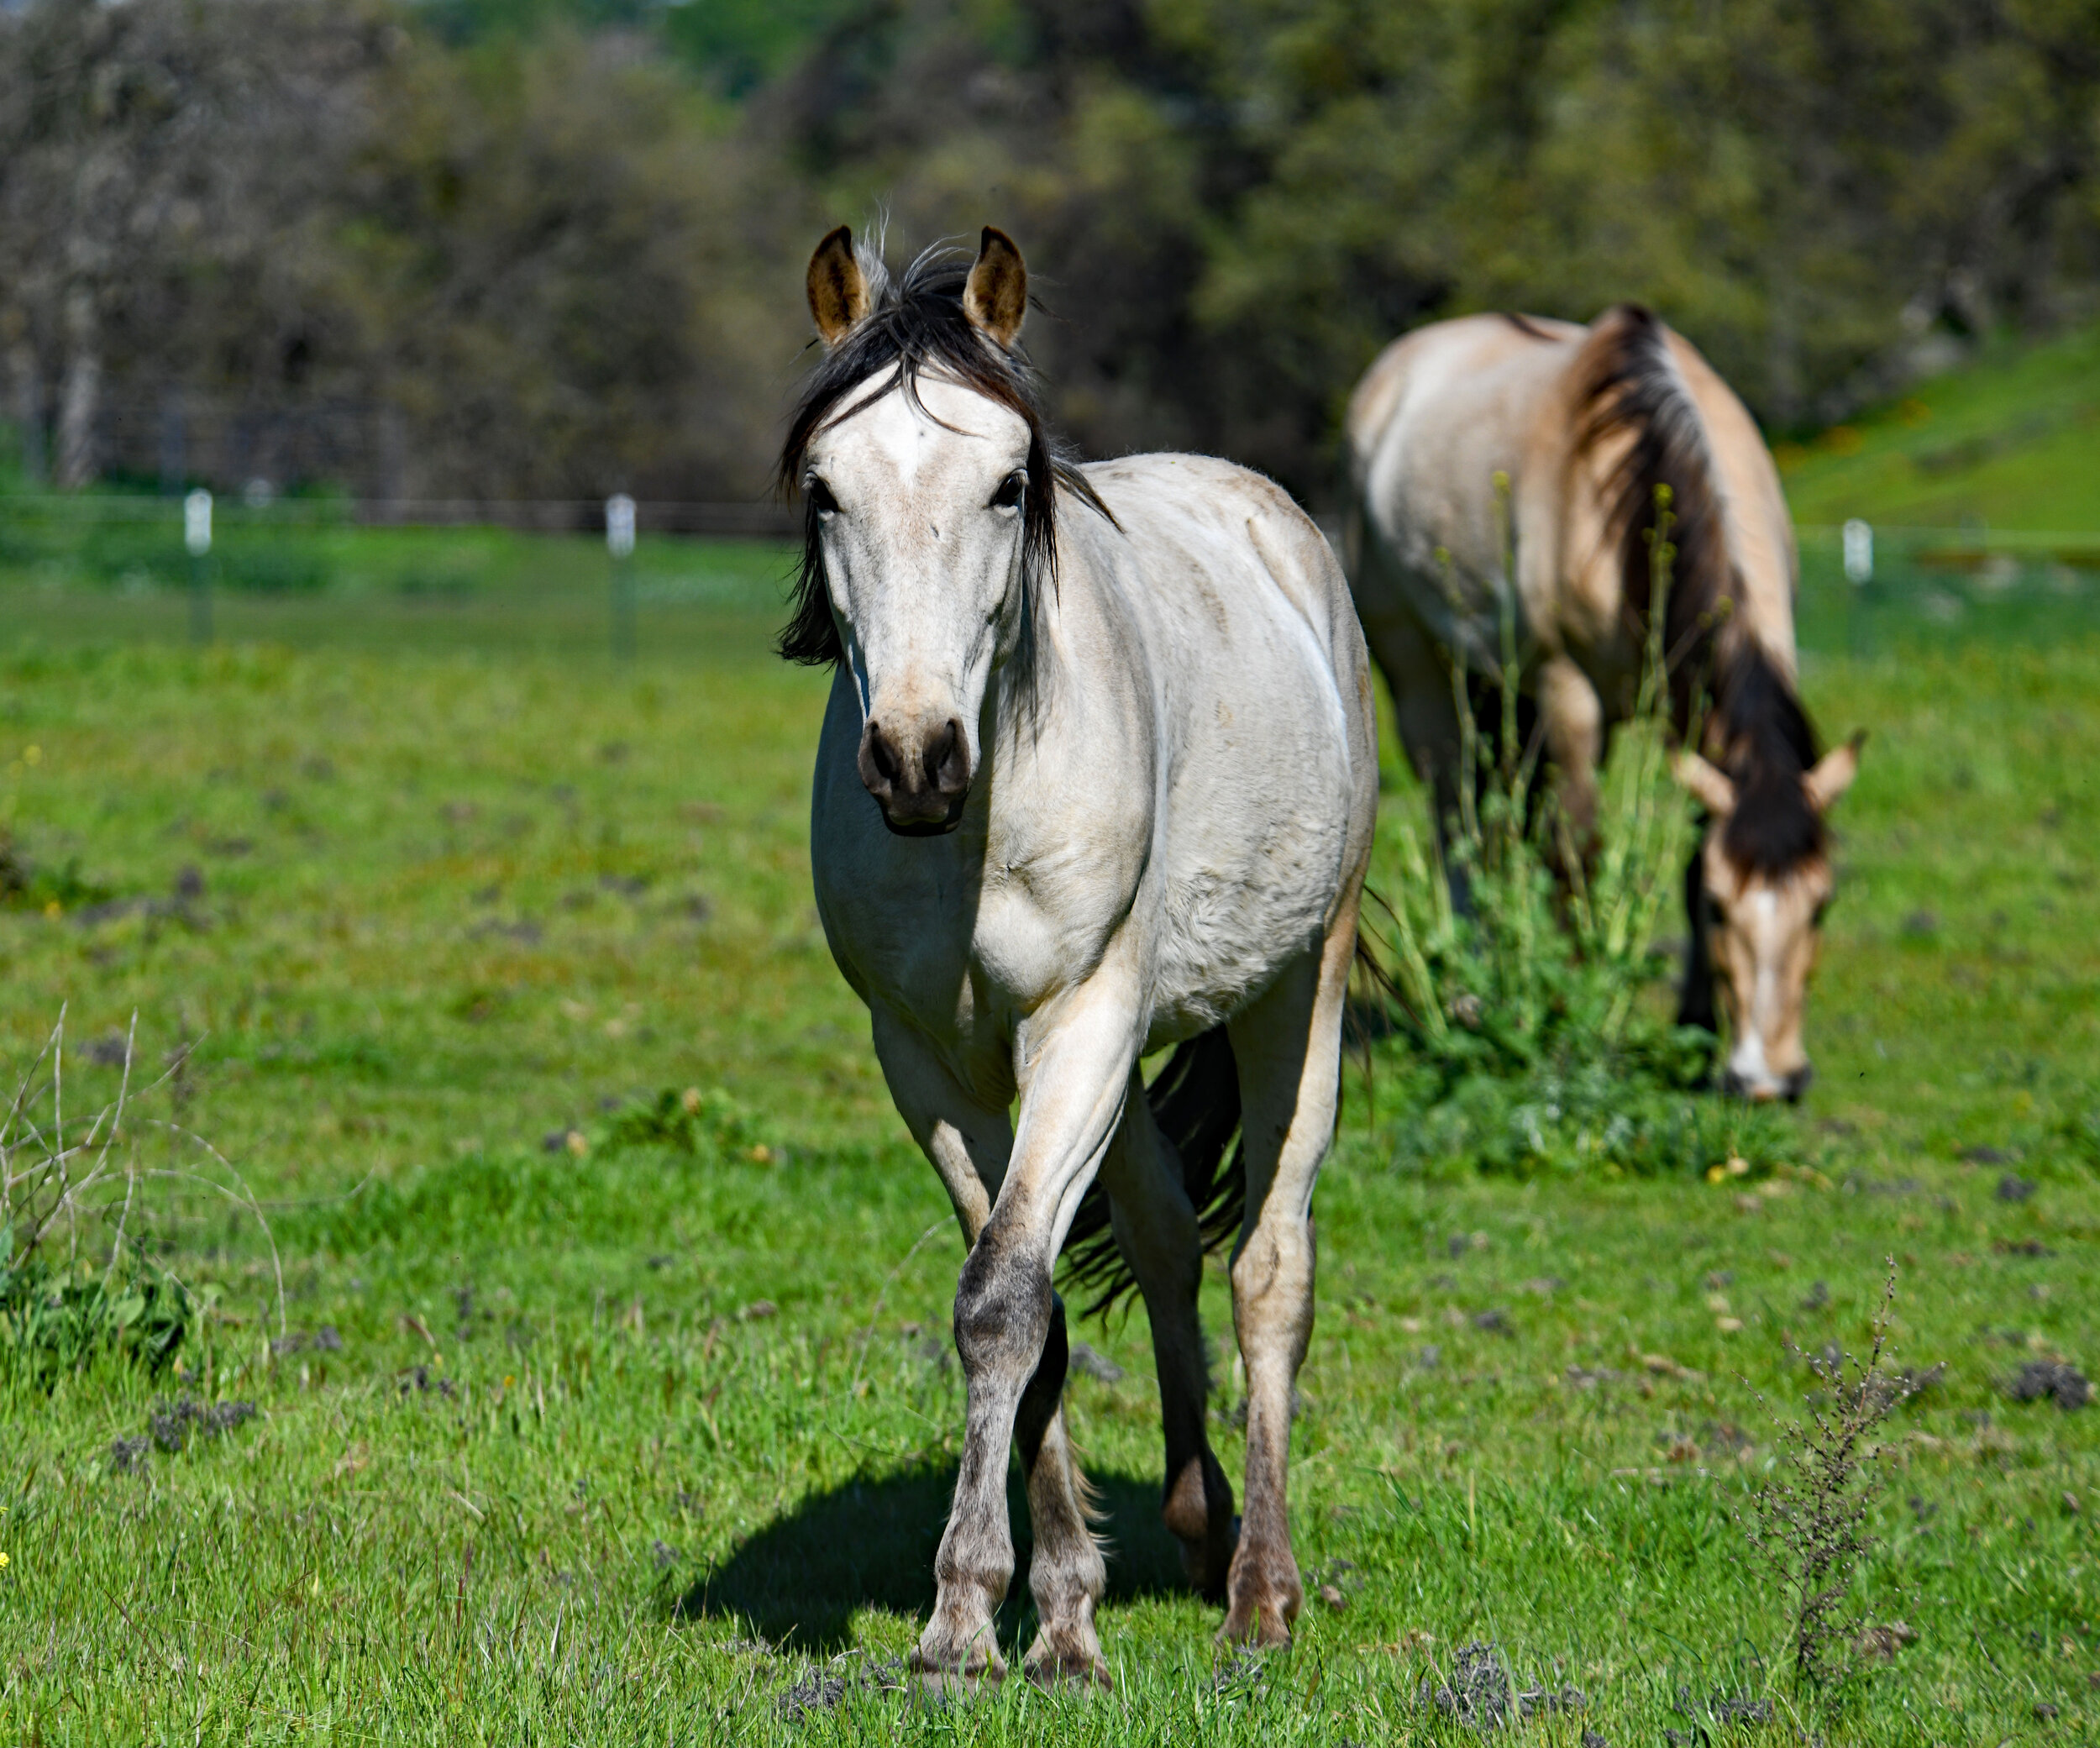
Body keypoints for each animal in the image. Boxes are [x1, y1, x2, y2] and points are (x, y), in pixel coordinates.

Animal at [779, 225, 1378, 1683]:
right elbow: (1026, 1304)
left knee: (1269, 1268)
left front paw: (959, 1620)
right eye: (825, 489)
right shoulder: (930, 1062)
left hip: (1299, 991)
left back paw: (1261, 1595)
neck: (980, 822)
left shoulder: (1082, 1023)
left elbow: (1007, 1295)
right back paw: (1200, 1525)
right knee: (1164, 1240)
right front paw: (1050, 1613)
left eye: (1008, 484)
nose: (917, 759)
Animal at [1342, 305, 1862, 1102]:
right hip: (1426, 673)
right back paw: (1469, 993)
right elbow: (1579, 854)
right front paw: (1575, 1010)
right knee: (1458, 815)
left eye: (1823, 903)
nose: (1767, 1078)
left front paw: (1694, 1030)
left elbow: (1685, 851)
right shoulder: (1568, 695)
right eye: (1723, 910)